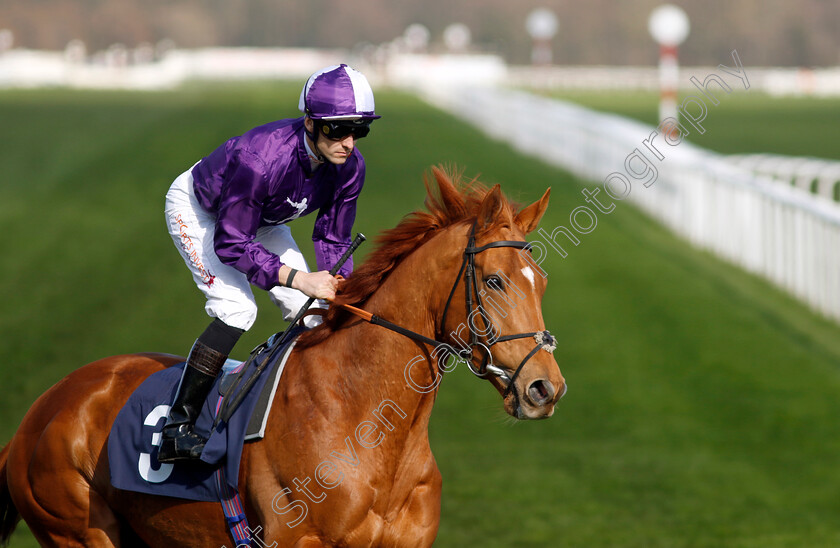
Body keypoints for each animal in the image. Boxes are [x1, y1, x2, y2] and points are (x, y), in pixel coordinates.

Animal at [1, 169, 564, 544]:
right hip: (77, 528)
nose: (546, 387)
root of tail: (42, 409)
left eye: (542, 280)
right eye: (494, 281)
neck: (367, 424)